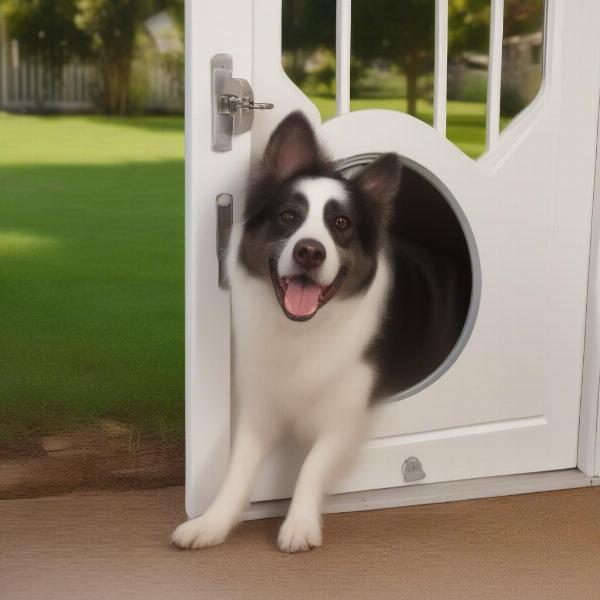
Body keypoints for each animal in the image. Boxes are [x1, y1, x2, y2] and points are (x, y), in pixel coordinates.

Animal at [171, 110, 466, 552]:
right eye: (288, 216)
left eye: (341, 223)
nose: (309, 251)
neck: (303, 329)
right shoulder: (259, 404)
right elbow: (238, 467)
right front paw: (212, 522)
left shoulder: (344, 415)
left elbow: (311, 464)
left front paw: (299, 525)